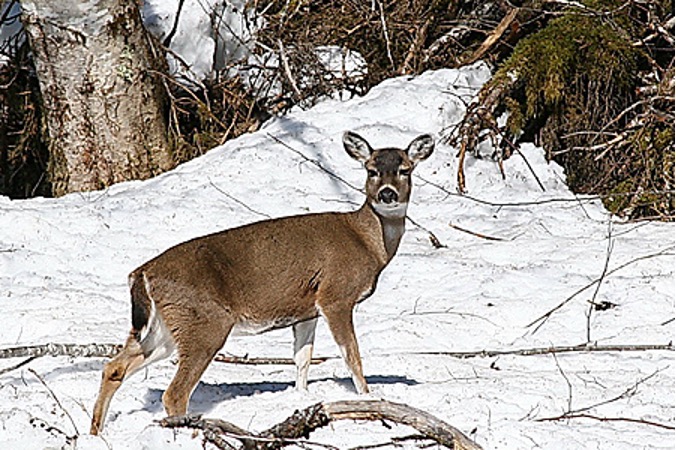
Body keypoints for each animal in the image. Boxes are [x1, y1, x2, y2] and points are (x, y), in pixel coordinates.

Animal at [90, 131, 434, 435]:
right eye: (371, 170)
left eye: (405, 169)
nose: (387, 193)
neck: (368, 242)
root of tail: (143, 272)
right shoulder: (336, 294)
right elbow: (352, 355)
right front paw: (369, 399)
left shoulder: (307, 308)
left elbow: (302, 358)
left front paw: (302, 399)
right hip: (205, 322)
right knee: (173, 393)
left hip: (164, 326)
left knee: (114, 367)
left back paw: (96, 433)